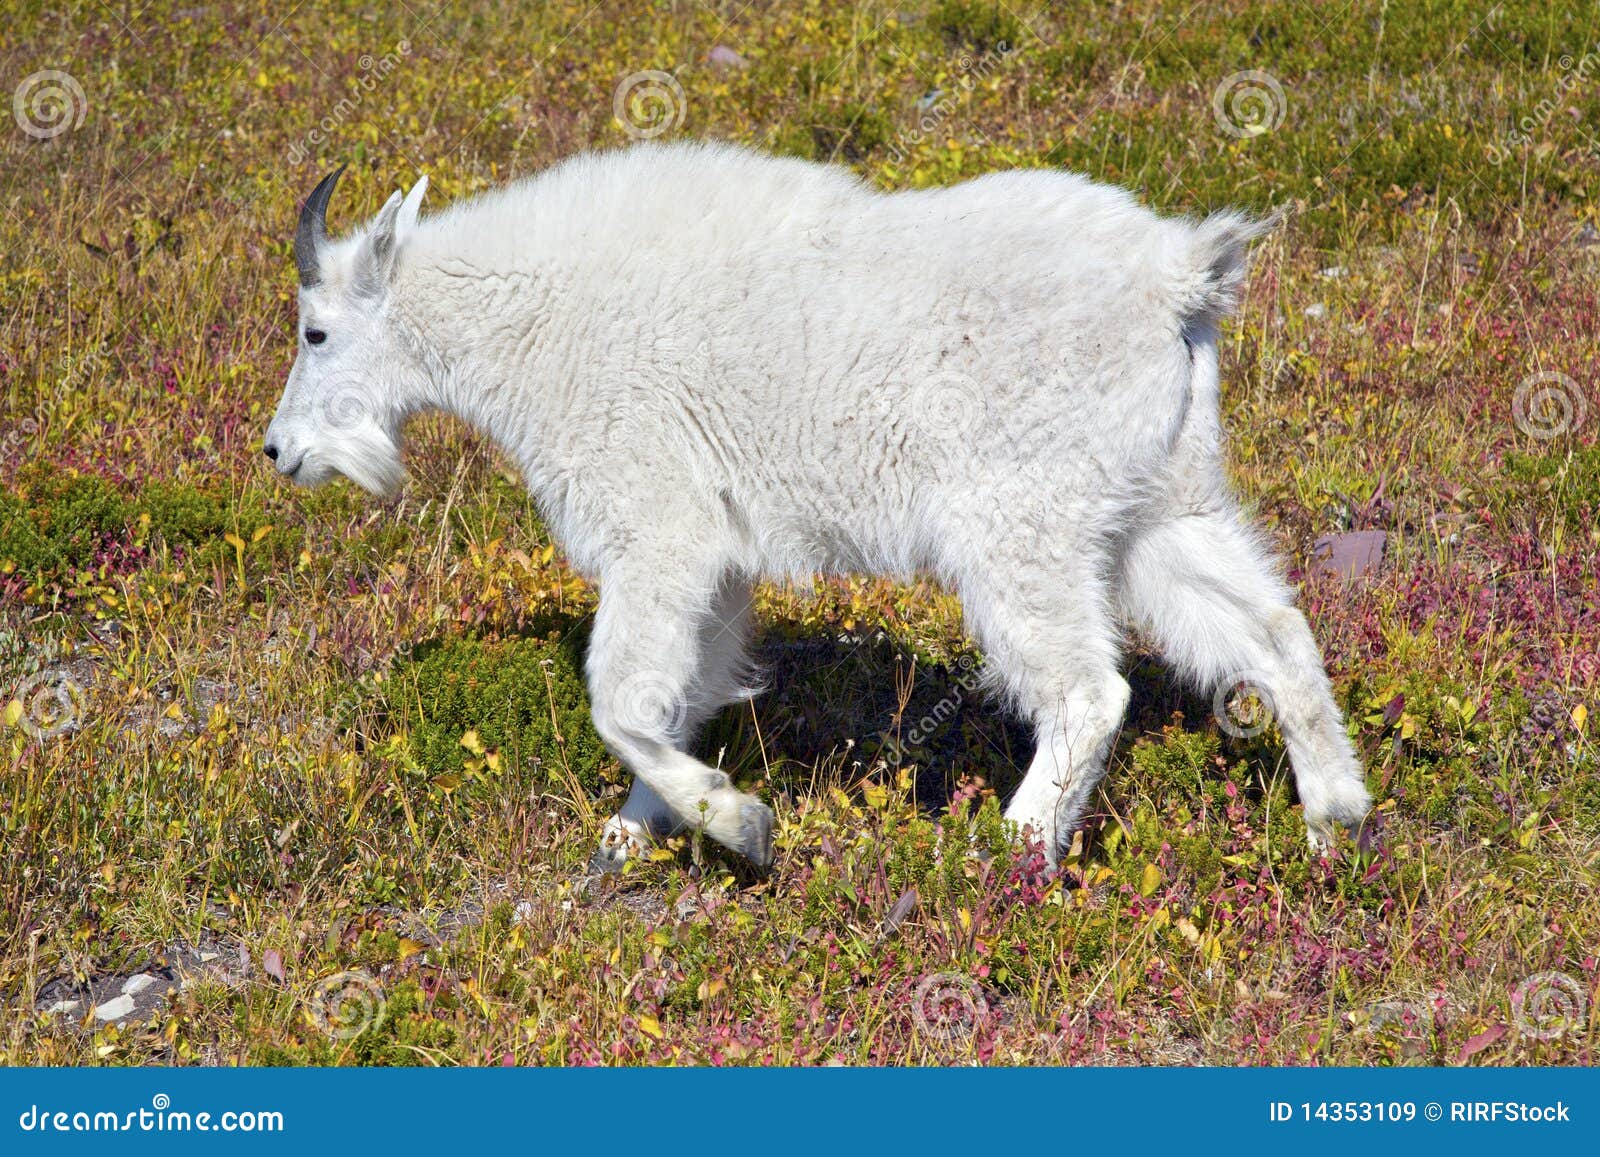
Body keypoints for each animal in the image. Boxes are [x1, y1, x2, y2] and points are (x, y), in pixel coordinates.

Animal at [264, 141, 1373, 874]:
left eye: (316, 330)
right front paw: (634, 830)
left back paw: (1004, 850)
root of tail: (1178, 279)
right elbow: (680, 692)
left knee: (1088, 691)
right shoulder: (718, 560)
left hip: (1020, 527)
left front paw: (737, 822)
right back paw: (1335, 821)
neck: (536, 322)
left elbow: (619, 699)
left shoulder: (656, 525)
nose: (281, 452)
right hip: (1160, 505)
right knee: (1273, 629)